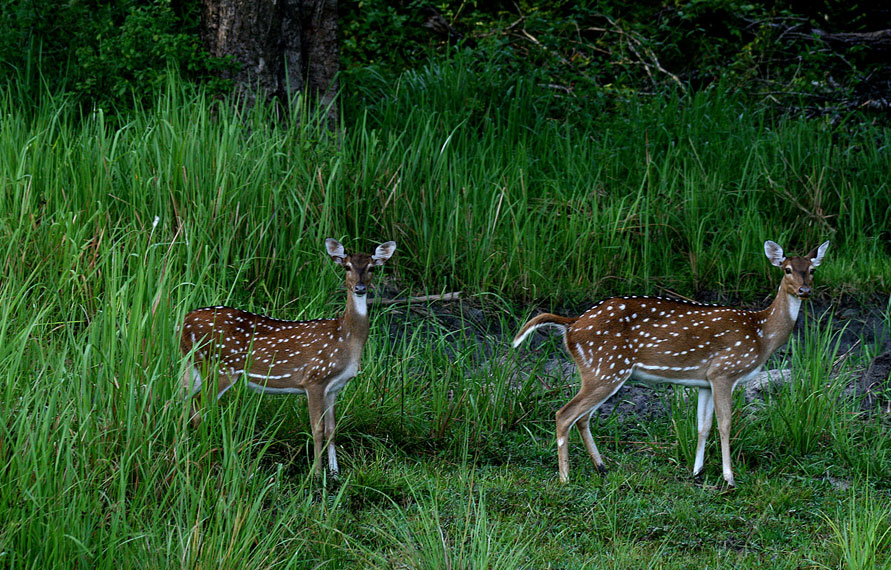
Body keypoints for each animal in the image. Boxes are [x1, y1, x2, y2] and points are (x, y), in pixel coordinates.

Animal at [179, 237, 396, 472]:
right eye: (346, 266)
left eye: (371, 267)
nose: (360, 287)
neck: (345, 339)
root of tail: (184, 323)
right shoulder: (315, 377)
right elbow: (317, 429)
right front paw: (317, 474)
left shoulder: (334, 387)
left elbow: (332, 430)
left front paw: (335, 473)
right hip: (220, 368)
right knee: (199, 408)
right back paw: (203, 456)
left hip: (195, 366)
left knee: (183, 400)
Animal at [512, 239, 832, 484]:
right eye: (787, 269)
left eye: (812, 270)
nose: (804, 290)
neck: (760, 333)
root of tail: (571, 324)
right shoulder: (725, 371)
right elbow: (725, 424)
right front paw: (729, 478)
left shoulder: (704, 381)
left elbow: (702, 425)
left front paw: (697, 472)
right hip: (606, 367)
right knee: (564, 414)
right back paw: (565, 478)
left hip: (598, 370)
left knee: (582, 416)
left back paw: (602, 467)